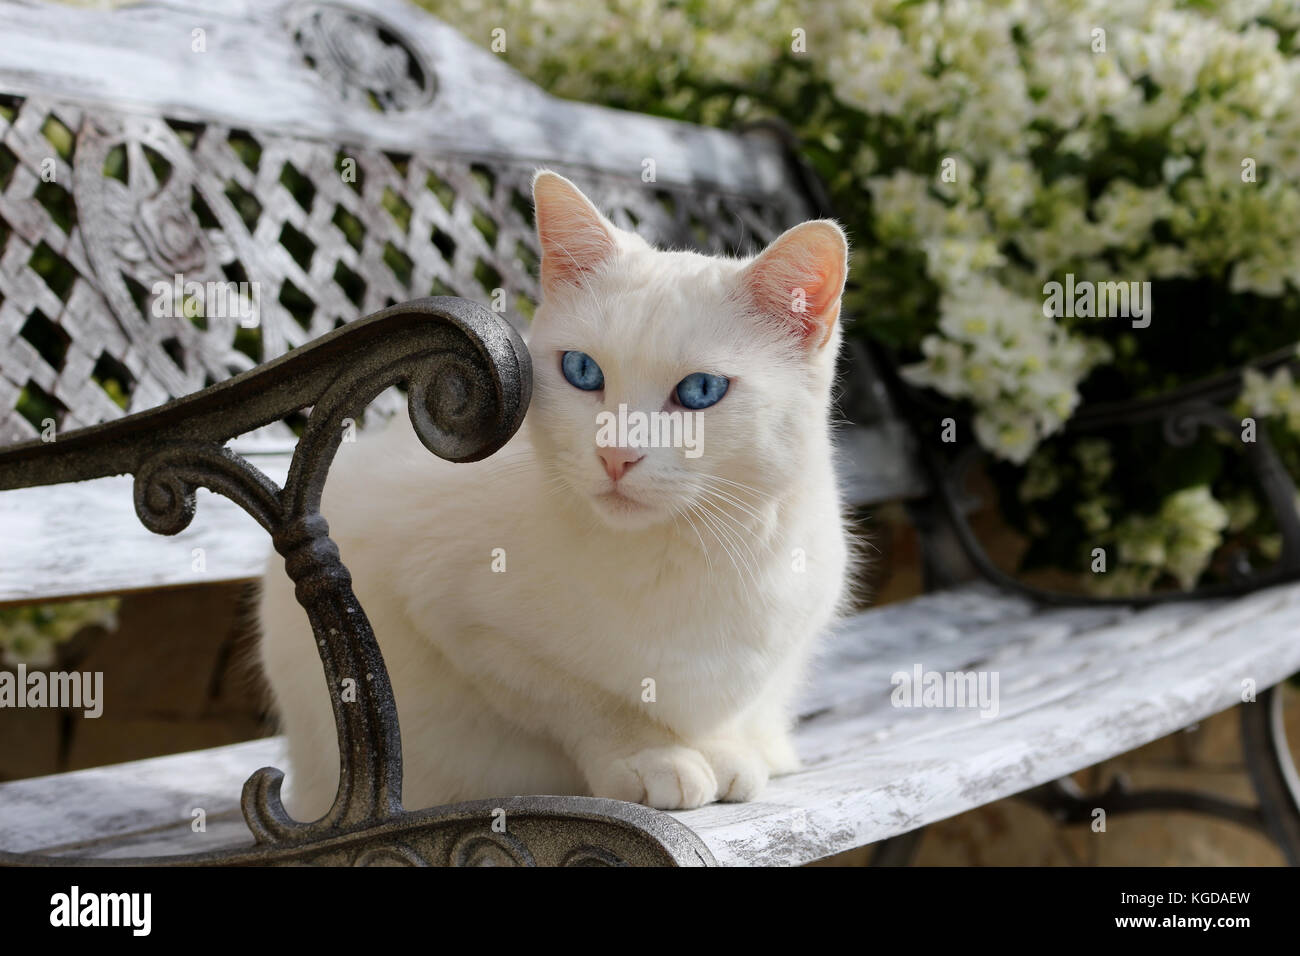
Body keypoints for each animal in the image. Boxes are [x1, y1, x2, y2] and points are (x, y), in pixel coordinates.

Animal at [258, 171, 857, 816]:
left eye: (701, 390)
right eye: (582, 371)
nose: (616, 455)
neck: (682, 554)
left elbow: (733, 707)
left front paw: (726, 751)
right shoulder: (464, 627)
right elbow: (587, 702)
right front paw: (652, 757)